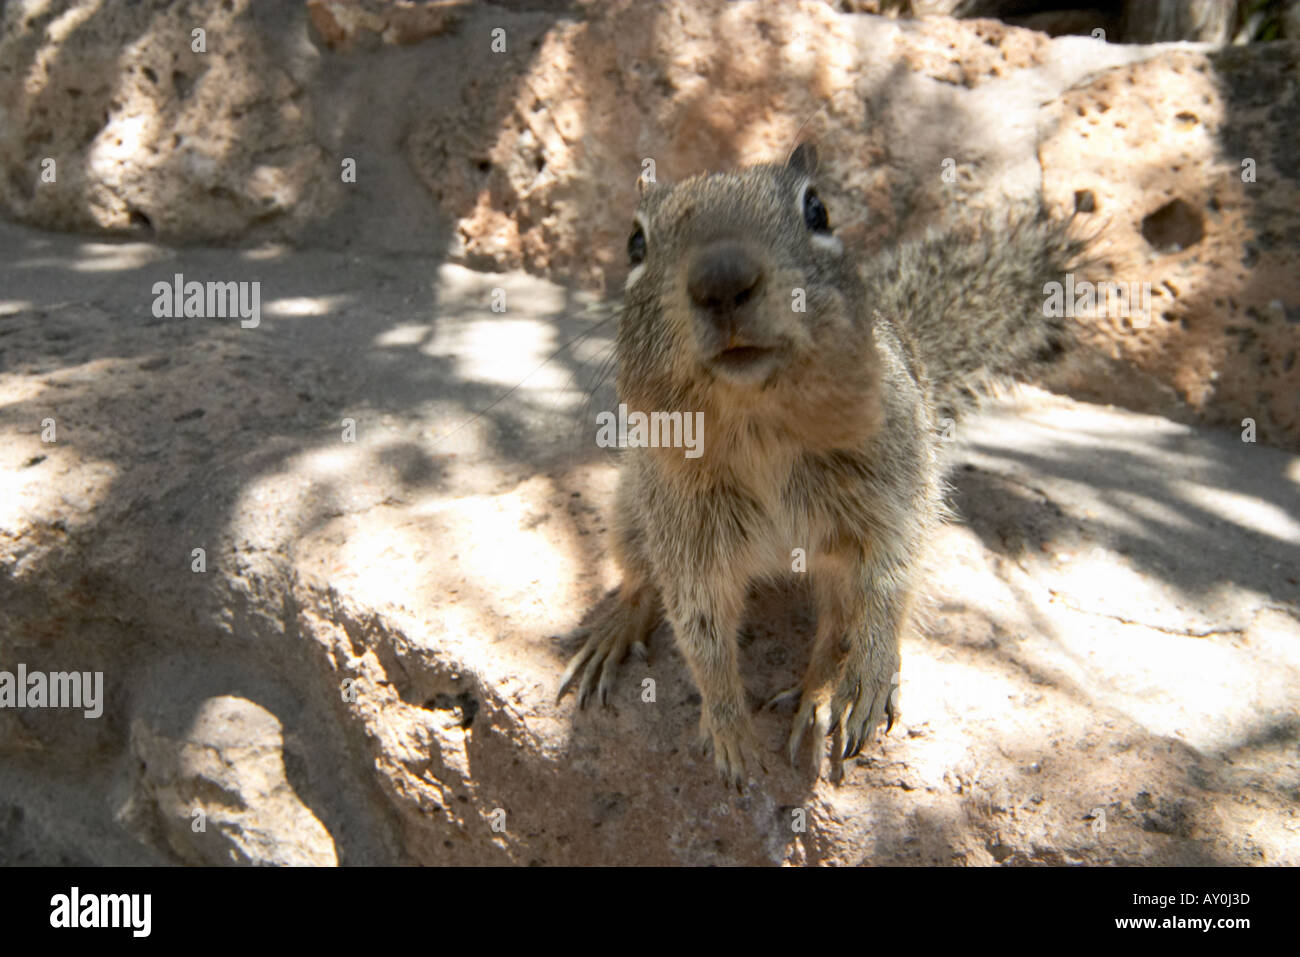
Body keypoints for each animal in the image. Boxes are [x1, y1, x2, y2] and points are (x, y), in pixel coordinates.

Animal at [558, 143, 1085, 788]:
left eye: (818, 210)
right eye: (635, 243)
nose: (722, 278)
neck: (760, 425)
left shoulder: (892, 494)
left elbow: (889, 578)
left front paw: (867, 673)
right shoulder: (684, 527)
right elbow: (699, 625)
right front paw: (729, 729)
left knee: (838, 627)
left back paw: (825, 696)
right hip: (631, 507)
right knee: (641, 577)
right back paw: (615, 629)